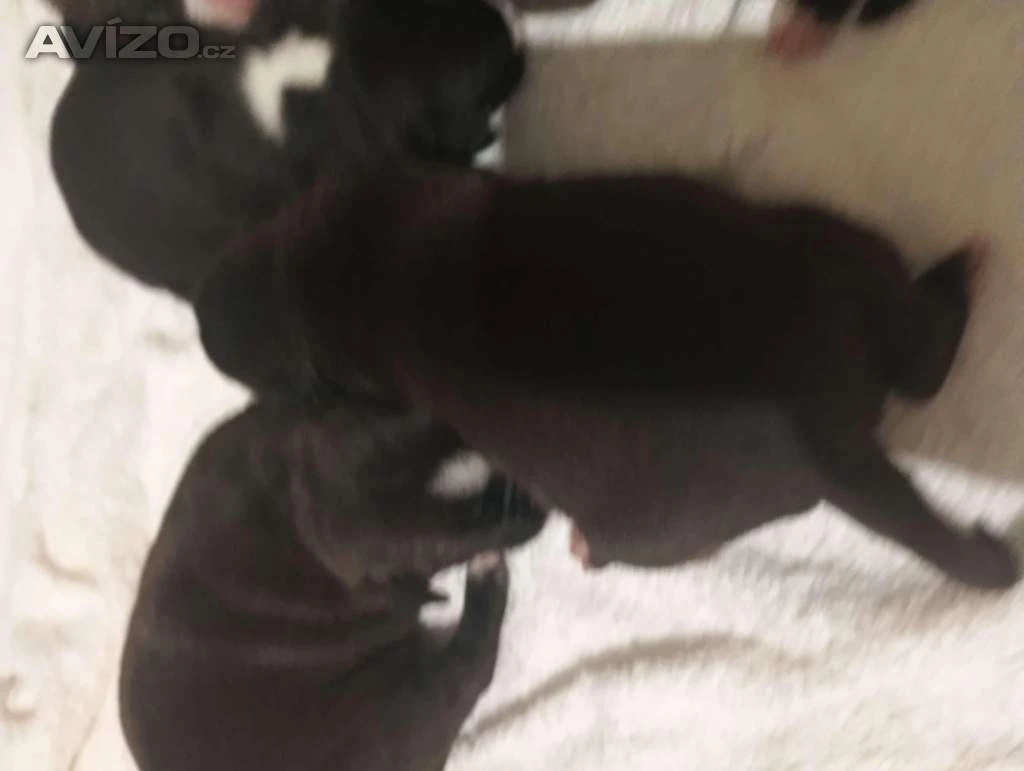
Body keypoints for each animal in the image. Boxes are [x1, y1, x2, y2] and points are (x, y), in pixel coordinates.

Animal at [120, 398, 545, 771]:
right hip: (391, 719)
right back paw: (487, 577)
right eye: (465, 537)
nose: (538, 496)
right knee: (466, 670)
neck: (297, 504)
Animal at [194, 161, 1019, 589]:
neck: (313, 279)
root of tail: (821, 439)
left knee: (922, 353)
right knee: (922, 354)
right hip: (838, 257)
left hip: (833, 255)